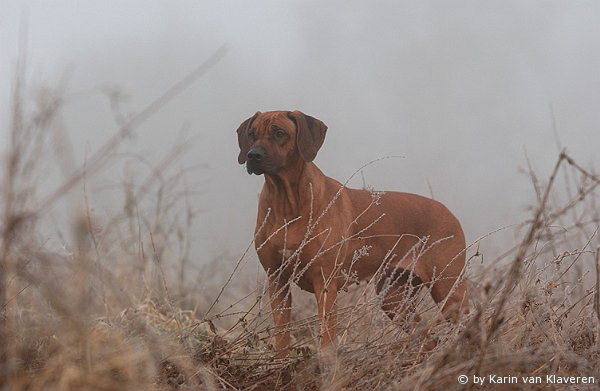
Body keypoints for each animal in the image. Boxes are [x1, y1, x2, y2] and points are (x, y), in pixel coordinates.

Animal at [237, 111, 472, 358]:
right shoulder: (277, 279)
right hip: (393, 297)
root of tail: (449, 212)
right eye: (251, 134)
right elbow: (282, 334)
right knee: (428, 338)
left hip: (448, 289)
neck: (287, 202)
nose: (253, 155)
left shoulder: (325, 282)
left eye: (279, 133)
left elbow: (327, 337)